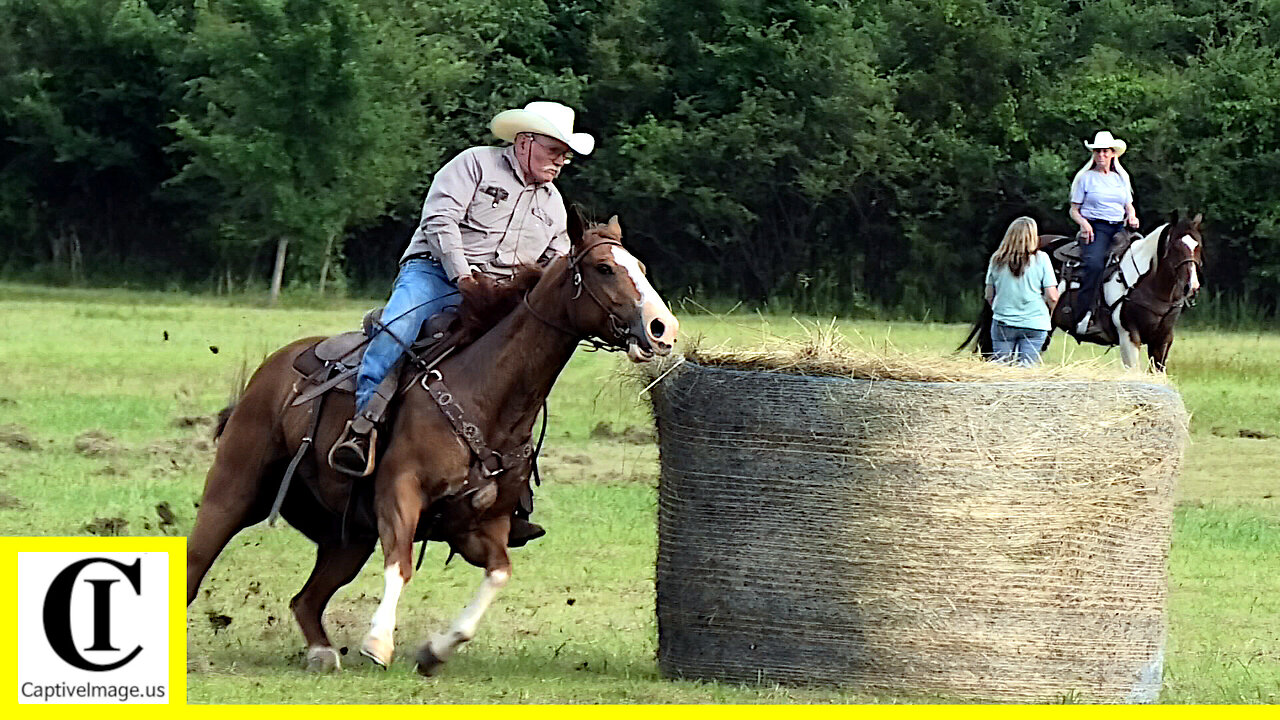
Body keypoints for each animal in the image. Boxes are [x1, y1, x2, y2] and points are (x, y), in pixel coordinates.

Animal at [186, 212, 680, 671]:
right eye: (604, 268)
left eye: (638, 266)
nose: (662, 328)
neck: (487, 393)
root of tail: (270, 371)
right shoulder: (400, 491)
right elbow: (400, 564)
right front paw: (378, 643)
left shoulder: (480, 525)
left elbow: (499, 573)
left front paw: (436, 649)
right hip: (233, 493)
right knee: (195, 564)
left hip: (349, 537)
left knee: (306, 599)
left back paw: (323, 653)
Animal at [957, 210, 1203, 368]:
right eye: (1175, 247)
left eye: (1197, 246)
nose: (1192, 286)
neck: (1147, 284)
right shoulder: (1128, 335)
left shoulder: (1163, 340)